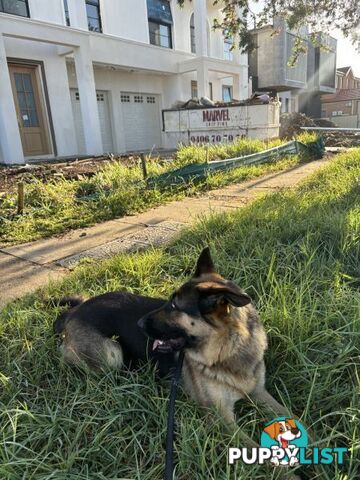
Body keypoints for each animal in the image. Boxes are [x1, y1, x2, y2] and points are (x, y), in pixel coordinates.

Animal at [54, 248, 290, 424]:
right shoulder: (221, 418)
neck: (227, 353)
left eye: (175, 306)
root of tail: (75, 312)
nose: (139, 324)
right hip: (112, 353)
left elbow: (293, 417)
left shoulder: (260, 394)